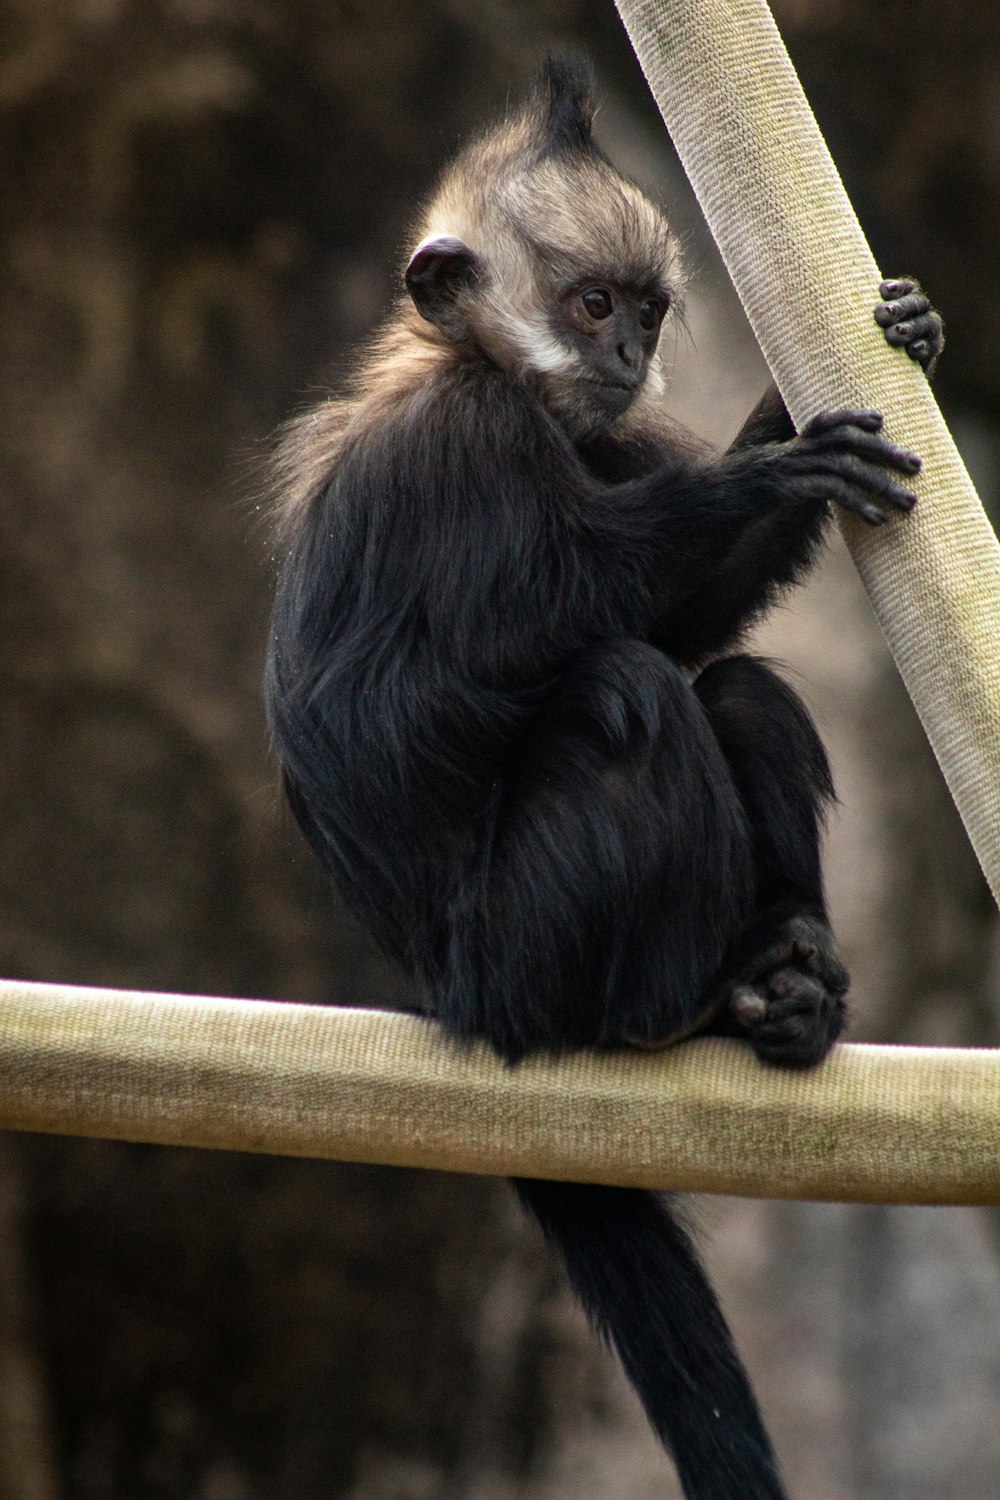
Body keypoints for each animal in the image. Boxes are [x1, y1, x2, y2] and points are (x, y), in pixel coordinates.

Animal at [263, 58, 941, 1500]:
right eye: (589, 306)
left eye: (643, 308)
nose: (627, 356)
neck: (483, 372)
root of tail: (446, 1000)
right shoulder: (464, 445)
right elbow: (469, 675)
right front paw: (764, 469)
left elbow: (693, 629)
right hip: (528, 954)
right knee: (626, 690)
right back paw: (681, 1006)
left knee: (732, 693)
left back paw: (787, 980)